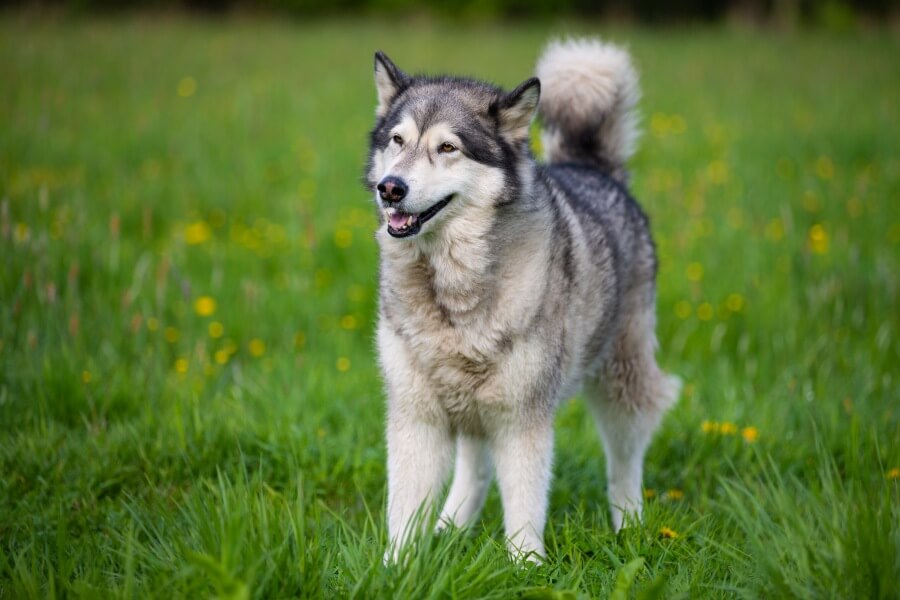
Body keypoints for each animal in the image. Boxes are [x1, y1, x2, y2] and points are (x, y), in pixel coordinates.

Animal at [366, 38, 684, 564]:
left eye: (447, 147)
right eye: (396, 140)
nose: (390, 188)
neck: (453, 286)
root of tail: (590, 167)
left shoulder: (521, 417)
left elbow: (524, 505)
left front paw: (525, 567)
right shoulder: (417, 415)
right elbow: (405, 510)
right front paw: (396, 567)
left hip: (621, 377)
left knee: (625, 457)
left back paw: (630, 524)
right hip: (473, 404)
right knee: (475, 468)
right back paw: (450, 529)